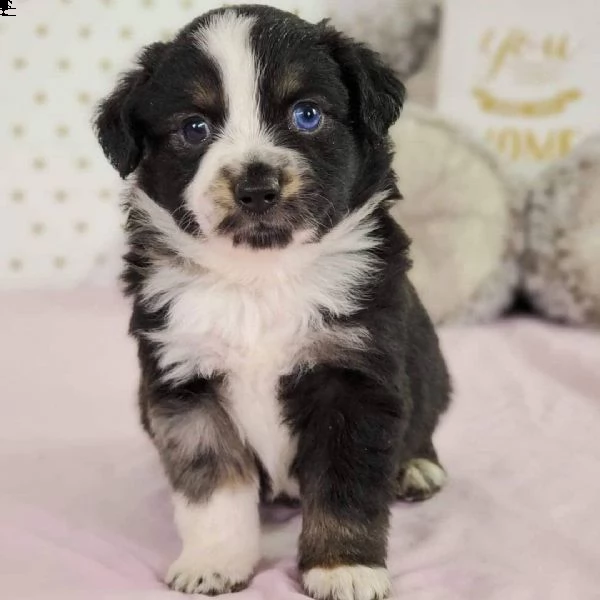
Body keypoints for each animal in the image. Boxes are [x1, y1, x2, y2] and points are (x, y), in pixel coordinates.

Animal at [94, 4, 450, 600]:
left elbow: (345, 489)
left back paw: (416, 468)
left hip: (434, 371)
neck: (261, 280)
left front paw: (343, 567)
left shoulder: (355, 381)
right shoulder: (186, 385)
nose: (257, 187)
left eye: (307, 115)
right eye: (194, 128)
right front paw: (214, 561)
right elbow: (211, 486)